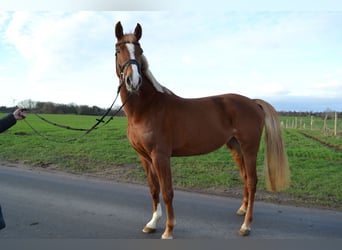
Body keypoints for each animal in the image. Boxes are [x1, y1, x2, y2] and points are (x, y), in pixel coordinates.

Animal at [114, 22, 288, 239]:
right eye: (118, 50)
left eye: (140, 51)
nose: (133, 81)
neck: (146, 108)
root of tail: (253, 102)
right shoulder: (144, 157)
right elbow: (154, 189)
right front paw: (152, 223)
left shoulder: (160, 156)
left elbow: (167, 191)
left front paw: (169, 229)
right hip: (235, 147)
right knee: (245, 178)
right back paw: (242, 209)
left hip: (250, 149)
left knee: (252, 182)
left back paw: (246, 226)